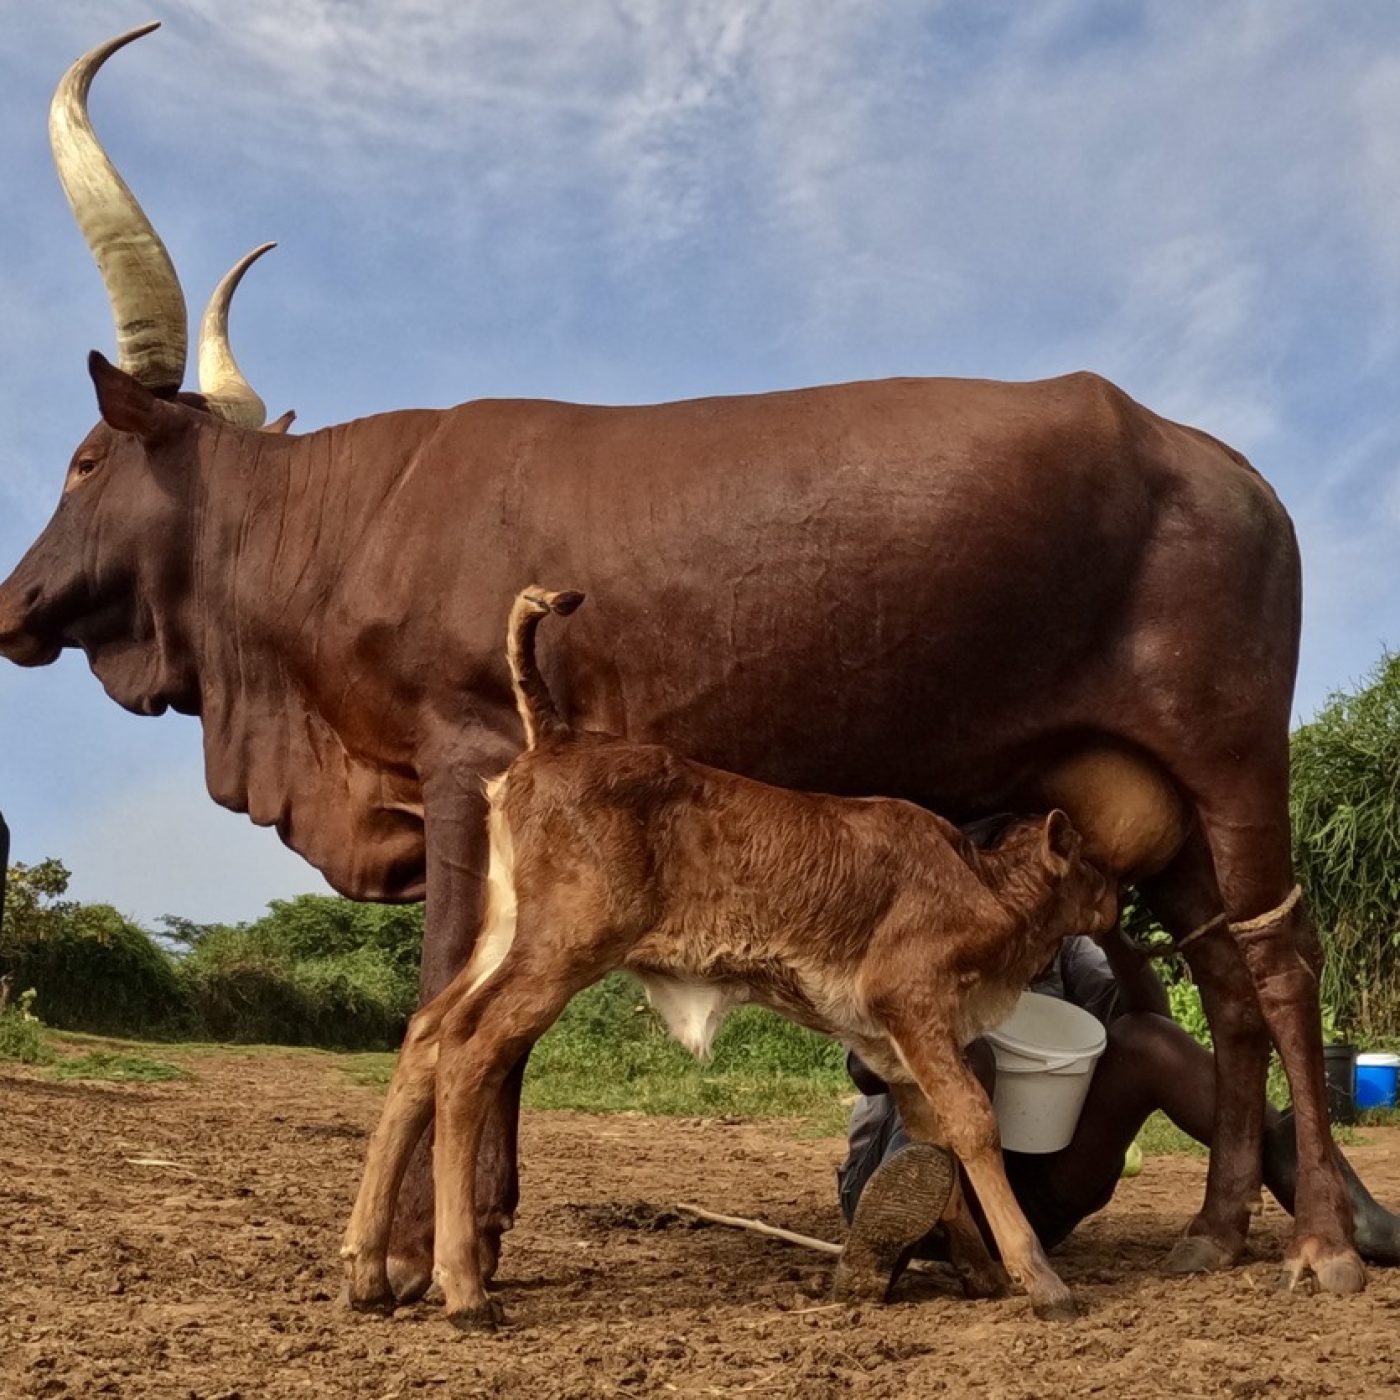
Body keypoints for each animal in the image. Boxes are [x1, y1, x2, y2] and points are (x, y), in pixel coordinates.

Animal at [344, 588, 1120, 1321]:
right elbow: (972, 1122)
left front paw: (980, 1272)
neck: (982, 886)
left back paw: (368, 1271)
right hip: (561, 949)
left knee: (426, 1032)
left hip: (505, 934)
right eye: (1088, 861)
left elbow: (933, 1138)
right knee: (469, 1047)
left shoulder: (894, 1042)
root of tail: (558, 738)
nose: (1115, 895)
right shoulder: (912, 997)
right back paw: (465, 1290)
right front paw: (1039, 1280)